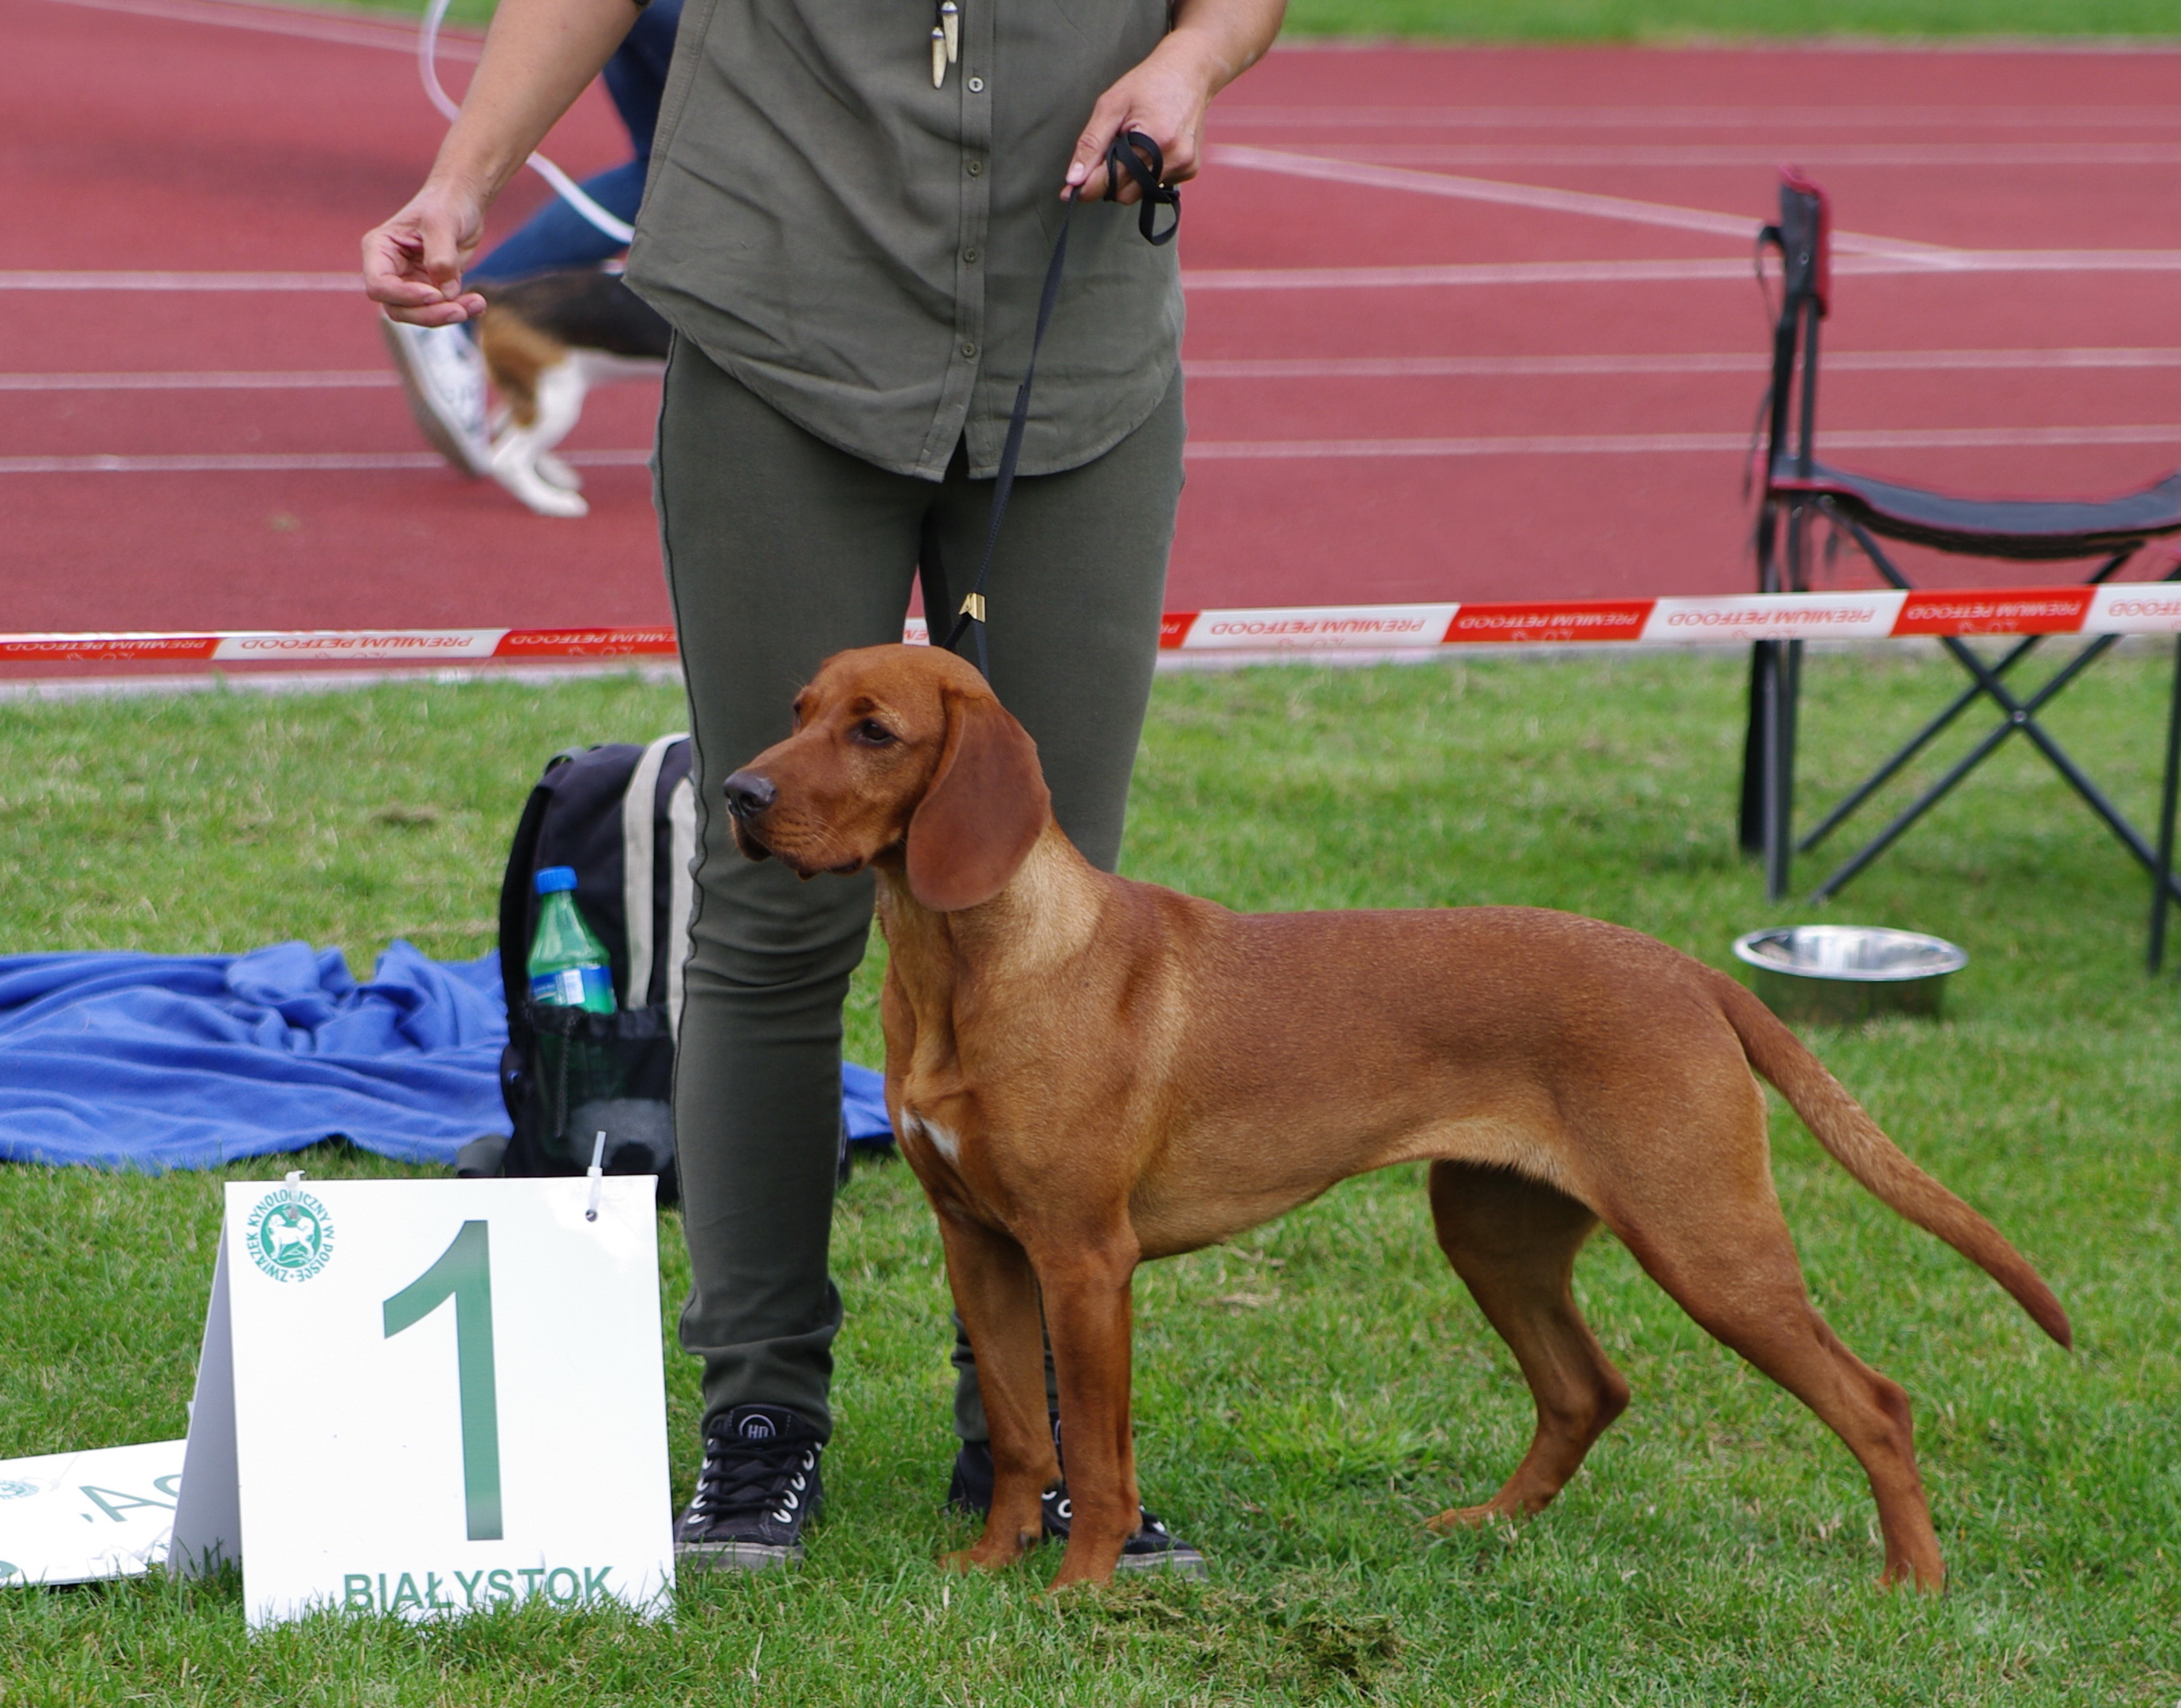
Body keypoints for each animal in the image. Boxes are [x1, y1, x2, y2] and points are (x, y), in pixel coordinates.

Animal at [724, 637, 2067, 1588]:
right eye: (795, 709)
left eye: (874, 730)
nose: (737, 791)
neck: (967, 966)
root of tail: (1688, 972)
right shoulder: (980, 1245)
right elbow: (1016, 1433)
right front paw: (990, 1565)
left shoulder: (1083, 1259)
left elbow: (1097, 1458)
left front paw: (1079, 1589)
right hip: (1493, 1231)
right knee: (1587, 1390)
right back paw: (1486, 1526)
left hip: (1706, 1243)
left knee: (1874, 1402)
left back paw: (1914, 1584)